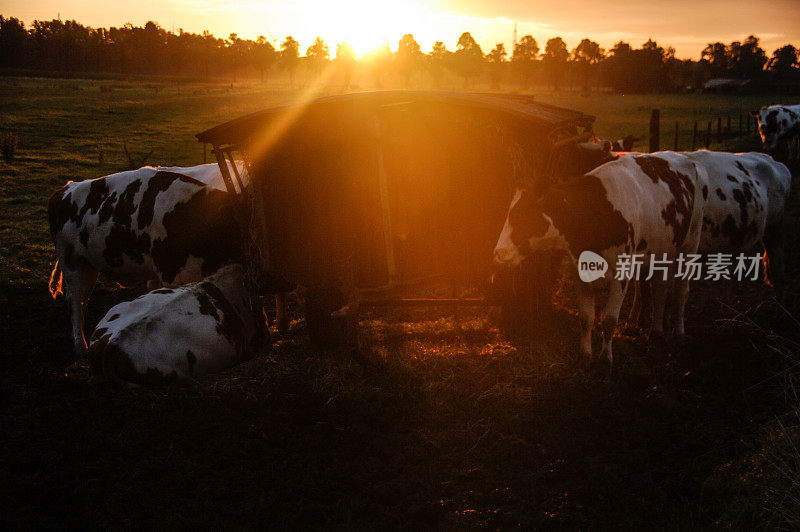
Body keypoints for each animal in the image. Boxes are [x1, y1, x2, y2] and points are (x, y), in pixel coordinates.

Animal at [46, 166, 241, 358]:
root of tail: (65, 189)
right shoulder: (172, 274)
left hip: (88, 264)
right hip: (72, 261)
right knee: (75, 301)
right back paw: (81, 346)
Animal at [494, 152, 708, 364]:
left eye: (521, 216)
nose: (498, 252)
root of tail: (684, 158)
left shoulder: (621, 273)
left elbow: (609, 319)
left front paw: (606, 359)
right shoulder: (579, 272)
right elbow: (586, 317)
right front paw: (586, 355)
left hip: (690, 242)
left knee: (681, 291)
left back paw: (678, 332)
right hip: (659, 252)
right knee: (659, 289)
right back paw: (650, 328)